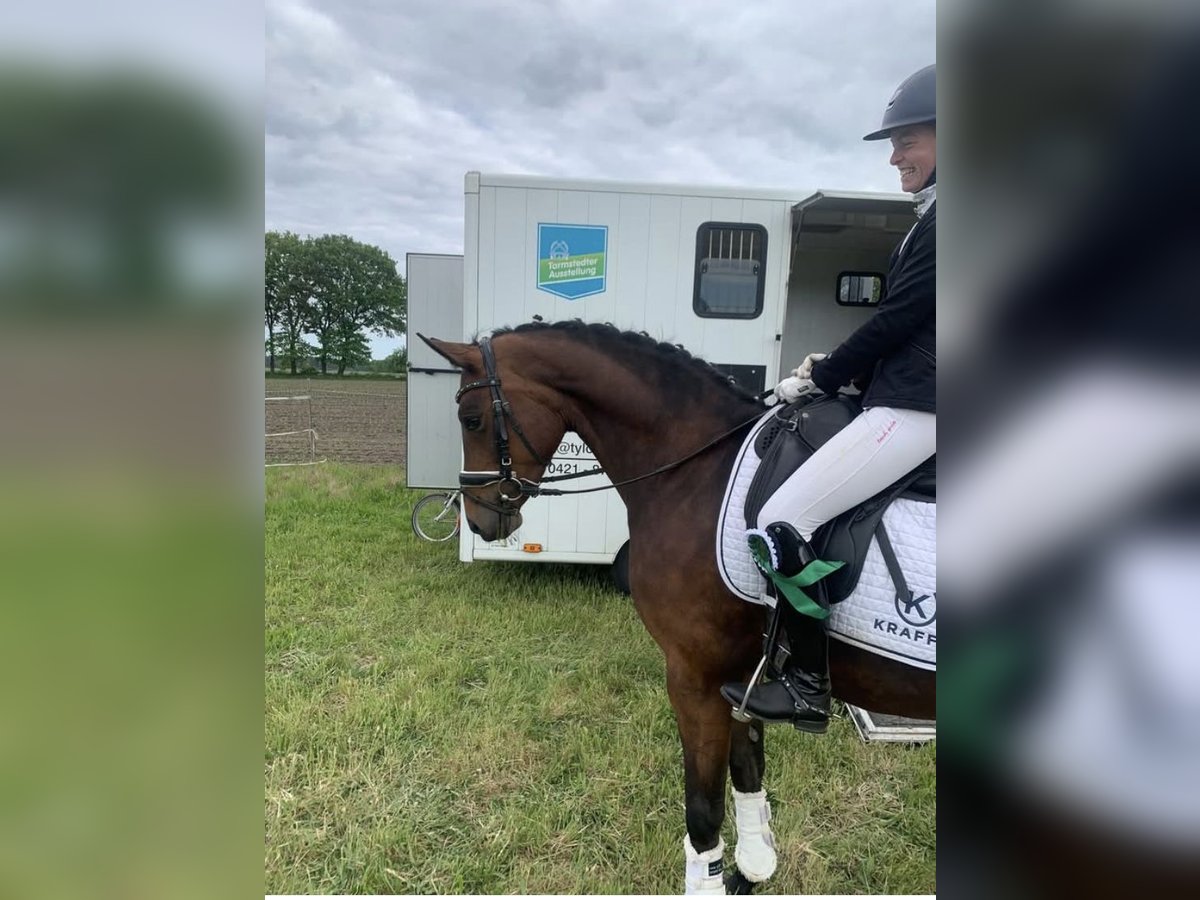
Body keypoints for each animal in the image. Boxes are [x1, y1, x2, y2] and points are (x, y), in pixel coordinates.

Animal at [421, 320, 935, 894]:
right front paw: (752, 869)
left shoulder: (695, 677)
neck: (697, 470)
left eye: (471, 419)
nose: (480, 520)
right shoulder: (741, 675)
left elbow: (703, 810)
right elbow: (747, 769)